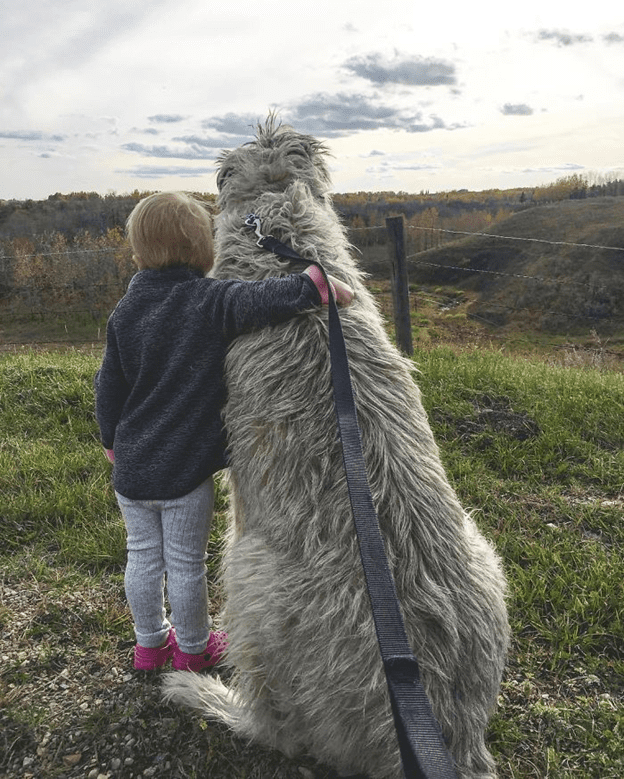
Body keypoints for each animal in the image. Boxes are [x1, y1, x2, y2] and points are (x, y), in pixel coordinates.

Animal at [163, 119, 510, 776]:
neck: (280, 225)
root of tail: (450, 728)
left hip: (248, 580)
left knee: (275, 730)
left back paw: (202, 693)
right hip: (487, 559)